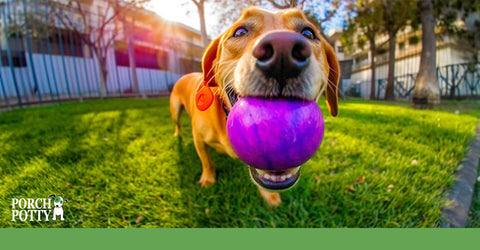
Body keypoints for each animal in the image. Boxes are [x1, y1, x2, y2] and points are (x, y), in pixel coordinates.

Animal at [171, 7, 340, 207]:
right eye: (240, 32)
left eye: (308, 33)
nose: (283, 50)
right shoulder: (198, 138)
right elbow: (207, 161)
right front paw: (208, 179)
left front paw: (270, 197)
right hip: (175, 110)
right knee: (177, 124)